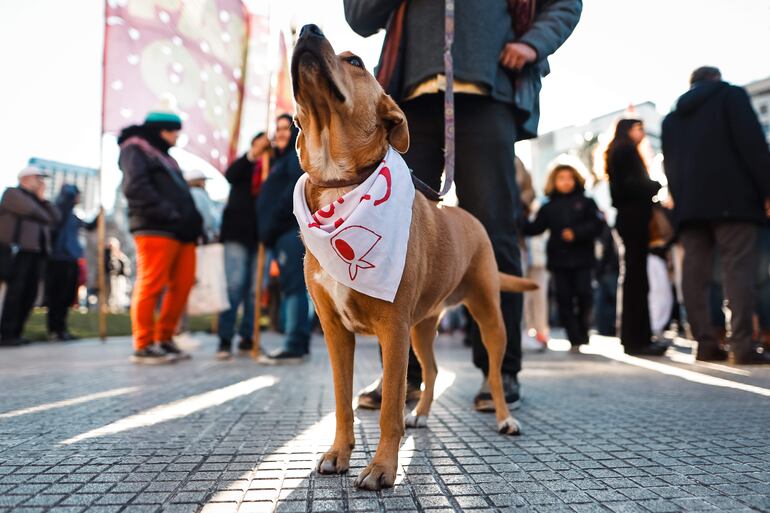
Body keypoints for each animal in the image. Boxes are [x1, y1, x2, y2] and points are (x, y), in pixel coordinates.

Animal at [288, 25, 536, 492]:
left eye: (356, 62)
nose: (308, 29)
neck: (340, 184)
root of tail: (465, 214)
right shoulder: (336, 331)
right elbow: (343, 401)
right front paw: (339, 453)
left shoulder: (393, 328)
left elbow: (388, 409)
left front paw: (382, 468)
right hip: (422, 328)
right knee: (434, 371)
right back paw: (420, 414)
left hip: (486, 316)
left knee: (495, 374)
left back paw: (504, 417)